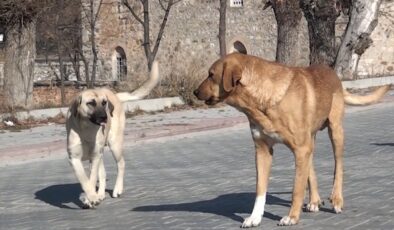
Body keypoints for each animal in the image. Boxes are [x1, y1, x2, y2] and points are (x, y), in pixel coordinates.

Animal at [67, 61, 159, 208]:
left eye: (104, 103)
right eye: (91, 103)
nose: (105, 117)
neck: (86, 129)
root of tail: (115, 95)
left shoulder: (94, 156)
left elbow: (91, 180)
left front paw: (90, 198)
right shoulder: (75, 159)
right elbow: (85, 181)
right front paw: (92, 197)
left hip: (114, 145)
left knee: (121, 164)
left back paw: (117, 189)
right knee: (103, 174)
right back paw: (100, 194)